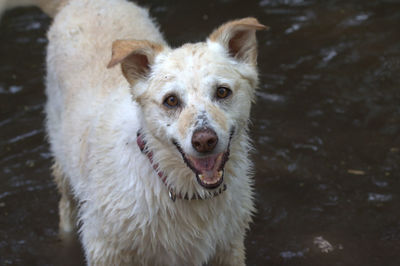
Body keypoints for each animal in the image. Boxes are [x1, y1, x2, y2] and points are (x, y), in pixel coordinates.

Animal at [3, 0, 268, 264]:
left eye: (222, 92)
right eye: (171, 100)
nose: (205, 141)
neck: (179, 187)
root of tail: (77, 2)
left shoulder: (229, 247)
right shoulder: (105, 249)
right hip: (63, 163)